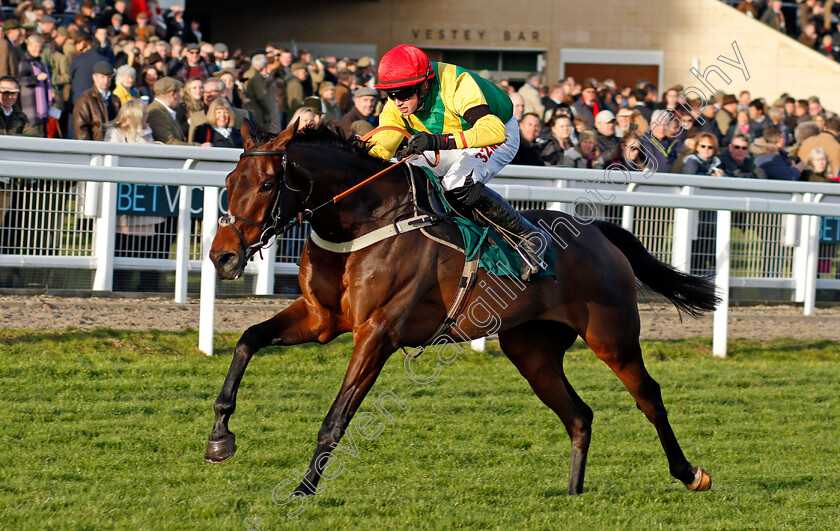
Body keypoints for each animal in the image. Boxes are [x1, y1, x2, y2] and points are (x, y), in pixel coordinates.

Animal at [203, 122, 716, 496]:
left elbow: (336, 419)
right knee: (578, 414)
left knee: (648, 396)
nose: (222, 256)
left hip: (612, 336)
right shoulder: (320, 318)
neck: (364, 223)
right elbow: (248, 340)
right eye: (228, 181)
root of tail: (597, 232)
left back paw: (690, 473)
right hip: (531, 349)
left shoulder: (377, 333)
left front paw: (303, 491)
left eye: (267, 184)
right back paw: (573, 493)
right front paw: (219, 438)